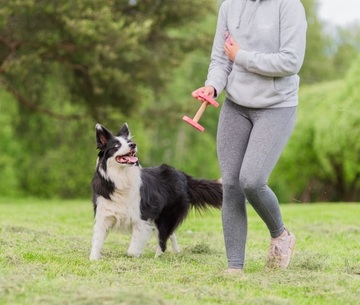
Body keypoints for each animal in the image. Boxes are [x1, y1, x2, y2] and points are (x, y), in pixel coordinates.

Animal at [89, 122, 222, 260]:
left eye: (129, 142)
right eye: (116, 145)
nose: (133, 145)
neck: (121, 177)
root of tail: (182, 175)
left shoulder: (142, 217)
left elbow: (132, 250)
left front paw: (137, 254)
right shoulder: (103, 214)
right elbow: (97, 240)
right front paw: (94, 258)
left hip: (166, 215)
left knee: (163, 239)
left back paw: (158, 256)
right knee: (169, 233)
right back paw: (176, 251)